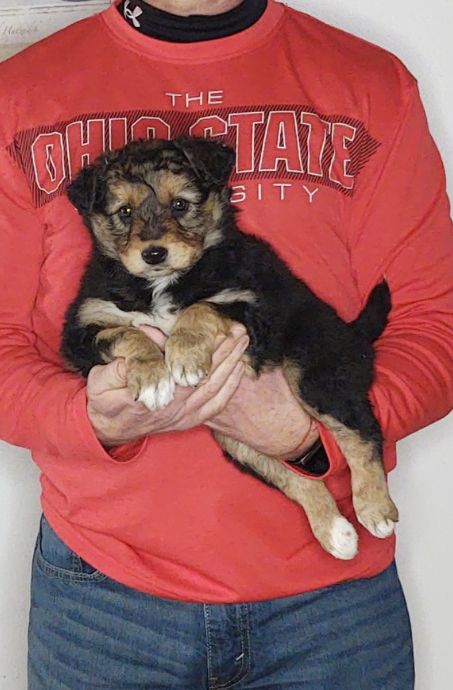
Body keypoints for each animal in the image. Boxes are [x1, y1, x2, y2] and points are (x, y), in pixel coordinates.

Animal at [61, 136, 398, 560]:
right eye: (124, 211)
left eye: (180, 204)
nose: (153, 254)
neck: (160, 284)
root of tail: (354, 336)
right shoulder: (83, 329)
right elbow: (127, 333)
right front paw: (154, 377)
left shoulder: (250, 307)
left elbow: (200, 308)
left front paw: (184, 357)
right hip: (235, 438)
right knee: (288, 474)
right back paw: (336, 533)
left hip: (314, 368)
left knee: (361, 431)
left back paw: (375, 510)